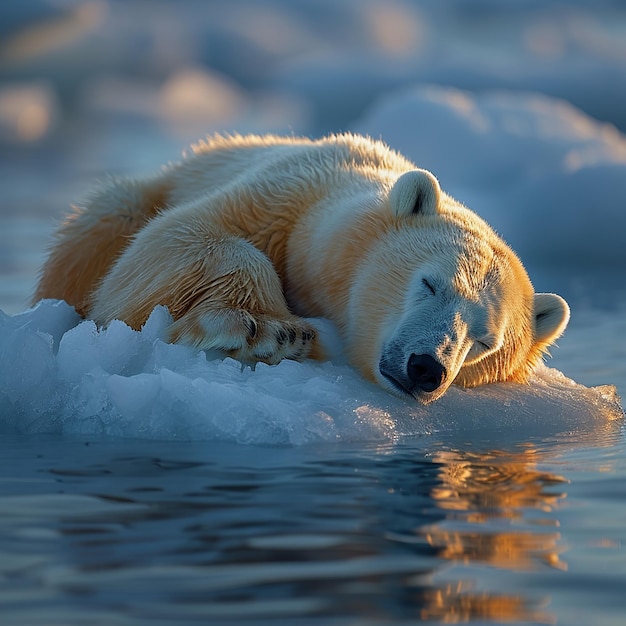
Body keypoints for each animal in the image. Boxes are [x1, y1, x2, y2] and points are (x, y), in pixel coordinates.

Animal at [35, 133, 572, 402]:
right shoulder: (282, 197)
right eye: (430, 284)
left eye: (485, 342)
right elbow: (181, 235)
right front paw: (268, 329)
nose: (426, 368)